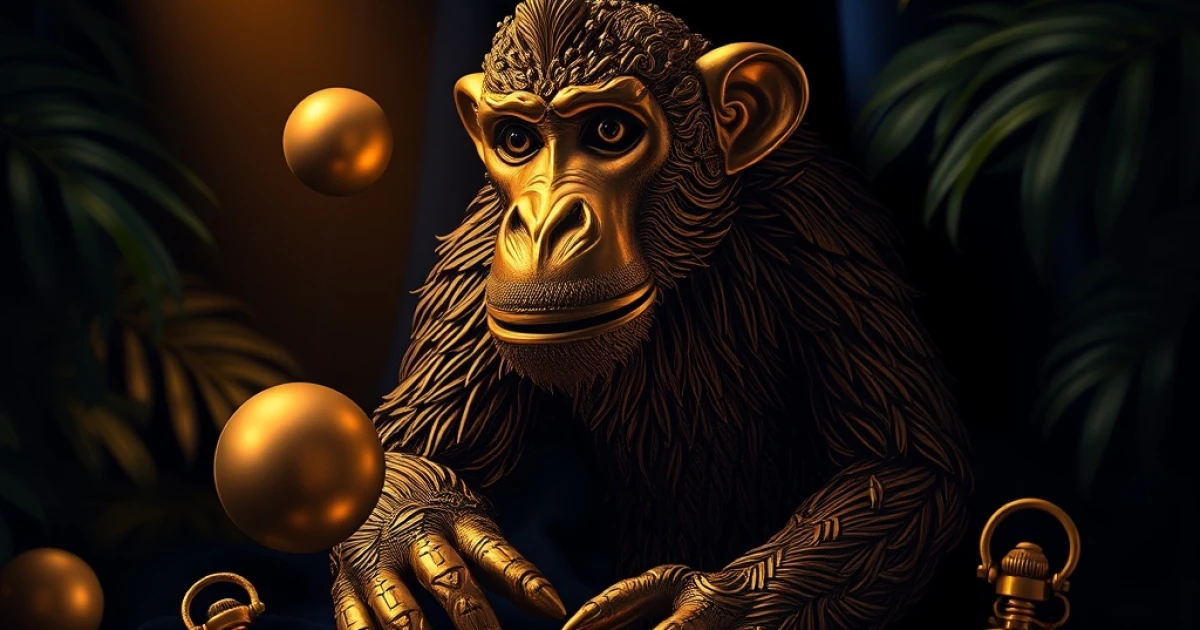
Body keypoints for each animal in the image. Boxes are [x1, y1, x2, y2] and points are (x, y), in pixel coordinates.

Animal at [328, 1, 972, 629]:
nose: (541, 225)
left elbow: (901, 466)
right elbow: (413, 442)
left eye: (609, 130)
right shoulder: (479, 241)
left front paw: (710, 603)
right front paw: (410, 532)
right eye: (515, 139)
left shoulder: (822, 228)